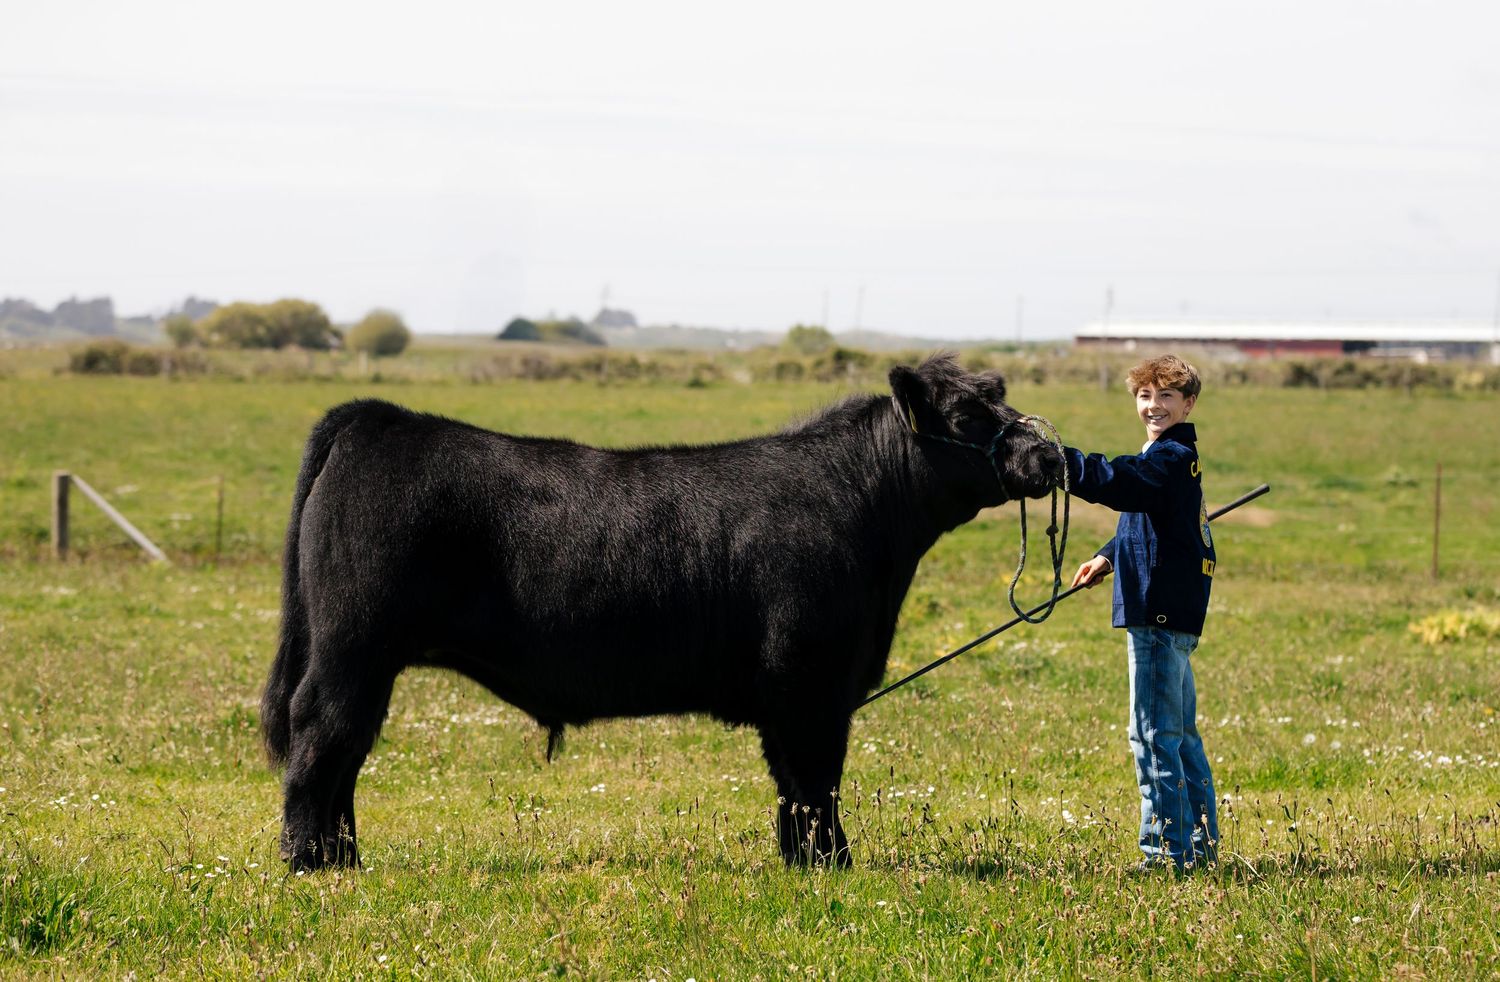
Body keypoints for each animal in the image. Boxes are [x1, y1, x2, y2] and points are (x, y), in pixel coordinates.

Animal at [261, 353, 1063, 870]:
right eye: (967, 412)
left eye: (1000, 392)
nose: (1050, 454)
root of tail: (382, 419)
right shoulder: (810, 683)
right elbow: (815, 783)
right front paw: (833, 865)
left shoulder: (803, 693)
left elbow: (794, 788)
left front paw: (800, 864)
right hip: (350, 649)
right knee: (320, 741)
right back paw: (309, 864)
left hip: (366, 661)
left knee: (346, 754)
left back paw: (345, 858)